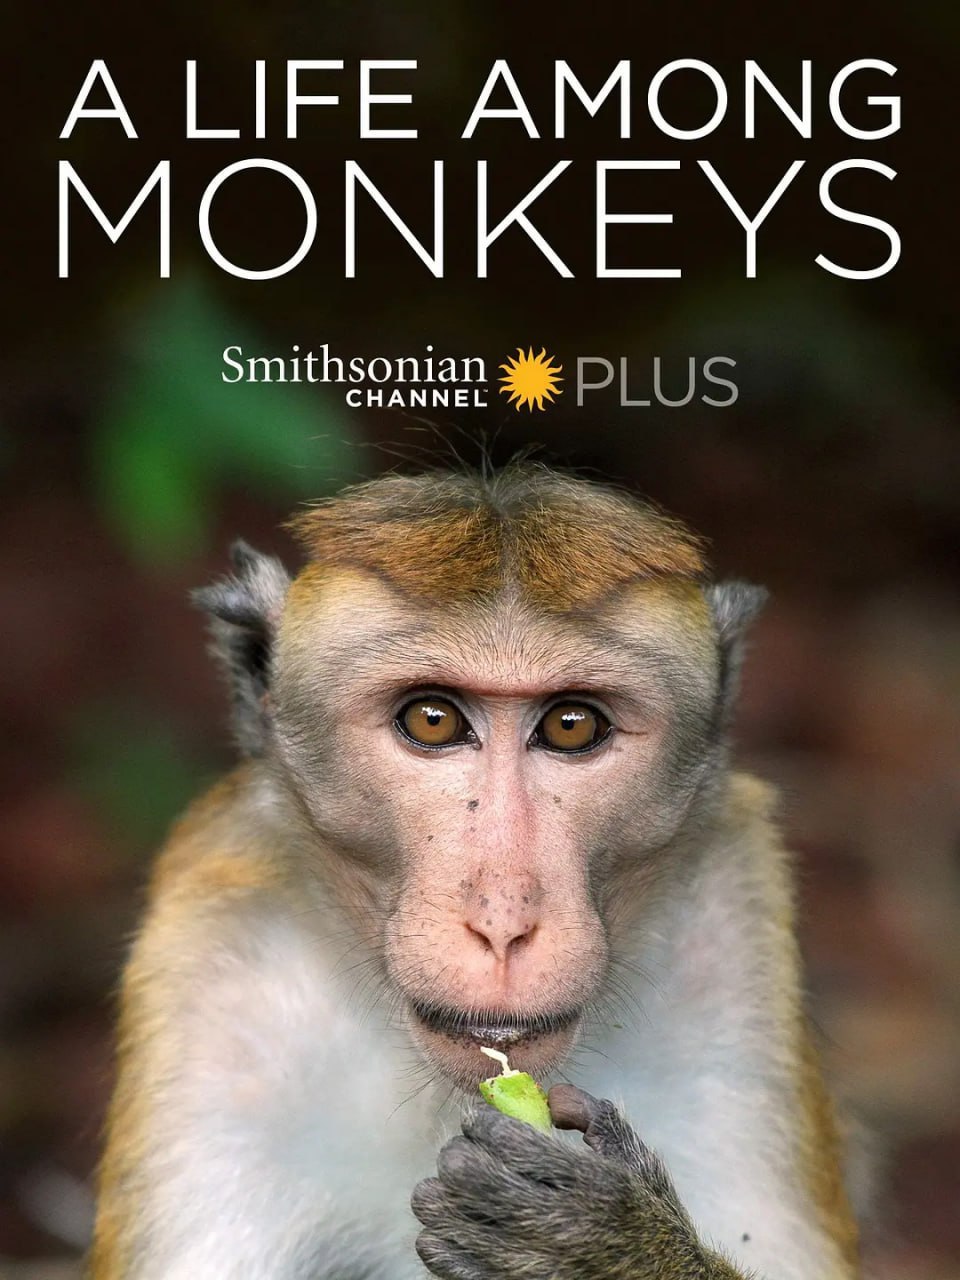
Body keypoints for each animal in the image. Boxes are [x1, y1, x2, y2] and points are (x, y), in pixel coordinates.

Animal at [90, 462, 861, 1280]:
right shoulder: (218, 975)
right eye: (432, 720)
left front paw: (593, 1243)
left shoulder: (733, 934)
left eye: (571, 725)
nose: (502, 922)